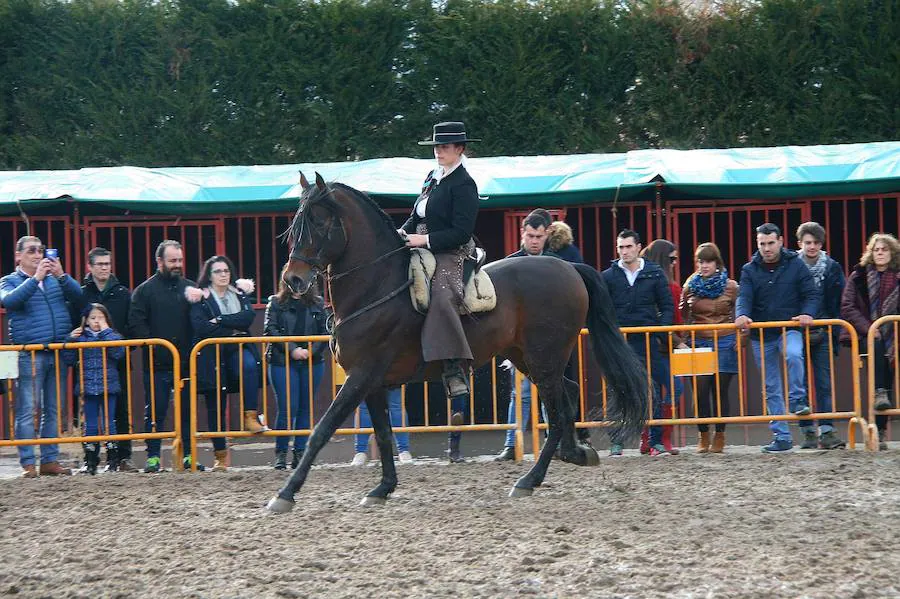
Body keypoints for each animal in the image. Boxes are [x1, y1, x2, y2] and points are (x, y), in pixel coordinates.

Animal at [264, 171, 652, 512]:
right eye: (295, 225)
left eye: (317, 223)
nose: (293, 280)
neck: (377, 287)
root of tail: (569, 268)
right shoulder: (371, 383)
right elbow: (385, 435)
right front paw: (382, 488)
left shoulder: (361, 377)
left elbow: (321, 430)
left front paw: (284, 495)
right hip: (530, 357)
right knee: (567, 396)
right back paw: (573, 454)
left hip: (544, 358)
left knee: (559, 411)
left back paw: (530, 479)